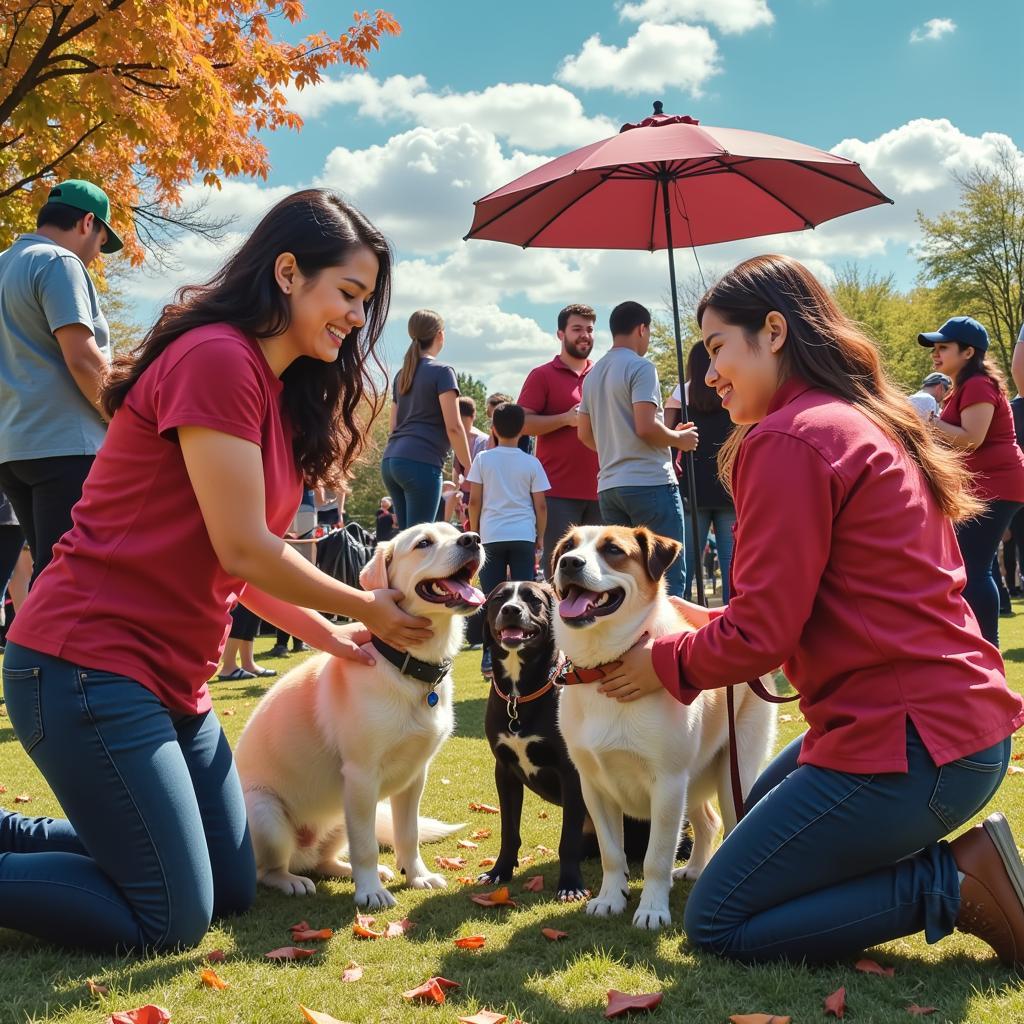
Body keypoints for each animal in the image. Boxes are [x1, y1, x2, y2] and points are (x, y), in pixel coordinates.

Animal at [235, 524, 483, 909]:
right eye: (423, 543)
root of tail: (300, 855)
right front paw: (370, 892)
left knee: (324, 860)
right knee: (269, 870)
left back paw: (345, 869)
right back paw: (293, 881)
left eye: (456, 531)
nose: (473, 539)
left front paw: (417, 876)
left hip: (339, 812)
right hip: (268, 814)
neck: (409, 669)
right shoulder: (362, 777)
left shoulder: (415, 777)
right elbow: (366, 846)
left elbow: (408, 834)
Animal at [481, 581, 589, 901]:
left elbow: (568, 839)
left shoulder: (572, 774)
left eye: (533, 599)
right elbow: (508, 830)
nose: (511, 610)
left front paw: (570, 884)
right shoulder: (504, 771)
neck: (519, 694)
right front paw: (500, 870)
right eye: (498, 599)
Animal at [552, 524, 774, 933]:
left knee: (729, 821)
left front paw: (653, 908)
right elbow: (611, 853)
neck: (605, 664)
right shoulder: (594, 787)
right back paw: (695, 869)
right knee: (708, 822)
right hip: (697, 778)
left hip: (732, 773)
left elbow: (656, 856)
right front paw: (610, 898)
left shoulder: (668, 784)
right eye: (568, 547)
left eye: (612, 550)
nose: (569, 563)